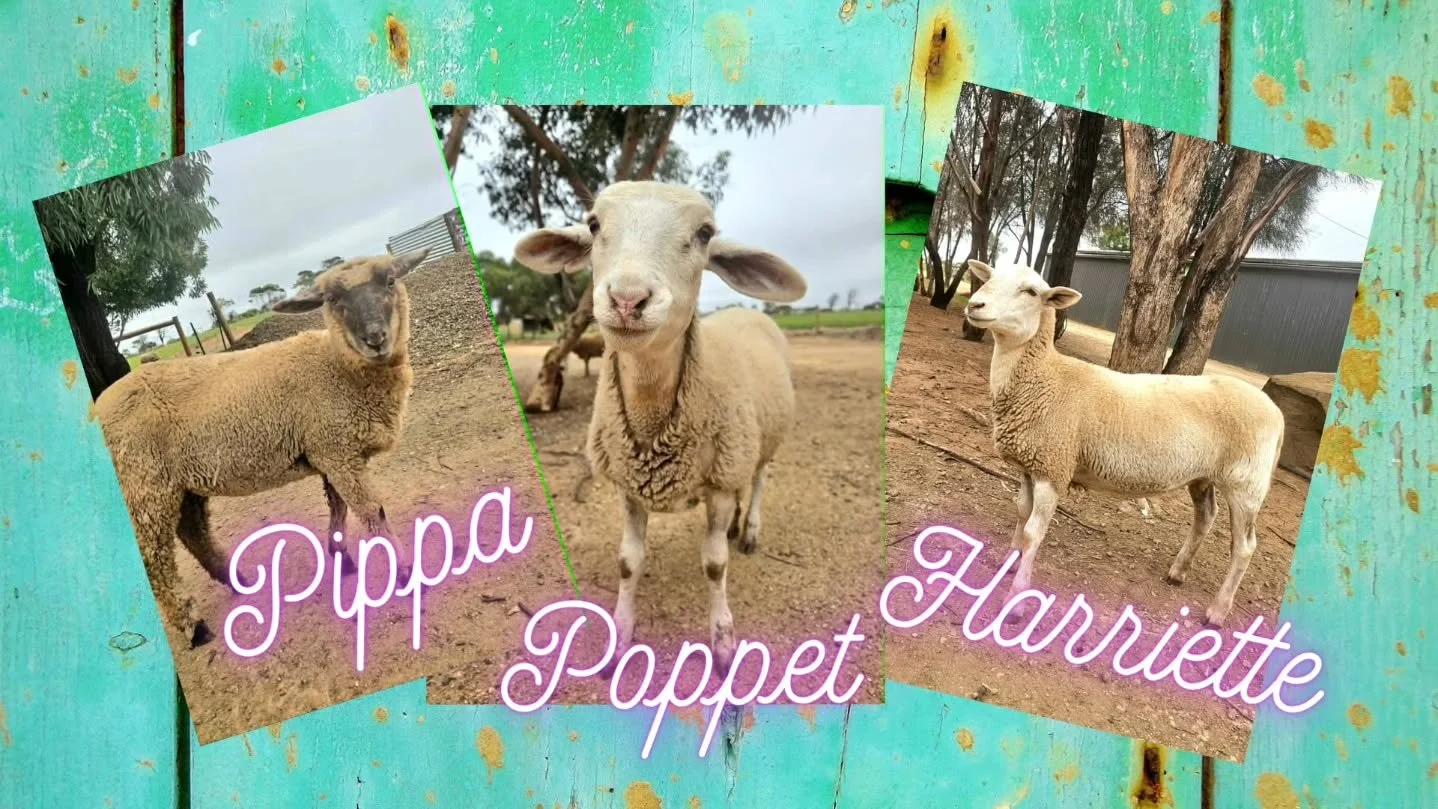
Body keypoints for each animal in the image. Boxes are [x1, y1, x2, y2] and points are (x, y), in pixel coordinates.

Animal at [93, 248, 431, 648]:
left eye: (390, 281)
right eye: (333, 300)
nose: (375, 338)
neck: (337, 366)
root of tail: (96, 409)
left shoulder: (330, 450)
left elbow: (338, 508)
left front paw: (342, 559)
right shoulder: (337, 450)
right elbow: (372, 512)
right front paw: (406, 575)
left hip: (179, 483)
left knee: (194, 532)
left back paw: (238, 581)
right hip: (143, 484)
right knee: (154, 560)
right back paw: (196, 627)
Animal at [513, 180, 807, 669]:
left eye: (705, 233)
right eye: (593, 224)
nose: (627, 299)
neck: (653, 421)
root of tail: (748, 310)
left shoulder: (718, 484)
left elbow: (715, 565)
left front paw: (723, 642)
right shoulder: (628, 486)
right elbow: (628, 561)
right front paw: (620, 635)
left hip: (761, 441)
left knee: (760, 479)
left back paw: (748, 531)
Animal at [961, 259, 1284, 627]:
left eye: (1030, 291)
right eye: (991, 277)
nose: (975, 305)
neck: (1046, 377)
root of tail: (1276, 413)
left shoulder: (1054, 467)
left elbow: (1033, 532)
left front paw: (1016, 600)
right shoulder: (1032, 464)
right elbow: (1020, 514)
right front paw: (1008, 563)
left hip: (1246, 483)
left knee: (1244, 547)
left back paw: (1217, 611)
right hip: (1205, 475)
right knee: (1205, 517)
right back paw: (1177, 572)